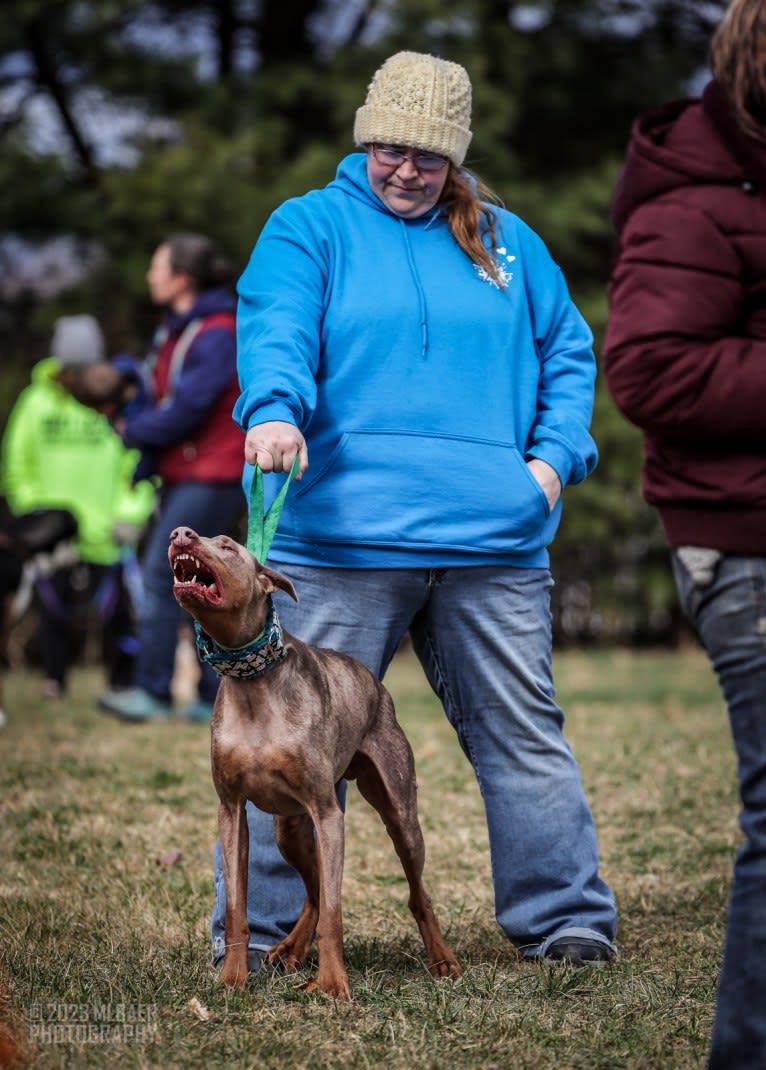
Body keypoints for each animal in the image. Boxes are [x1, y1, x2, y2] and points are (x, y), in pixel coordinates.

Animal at [169, 526, 460, 1001]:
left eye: (227, 545)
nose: (180, 533)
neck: (254, 684)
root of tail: (375, 684)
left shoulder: (328, 813)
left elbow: (335, 915)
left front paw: (333, 984)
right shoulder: (231, 810)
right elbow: (237, 907)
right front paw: (233, 978)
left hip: (399, 816)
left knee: (415, 893)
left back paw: (442, 958)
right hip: (289, 830)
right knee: (314, 891)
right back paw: (289, 948)